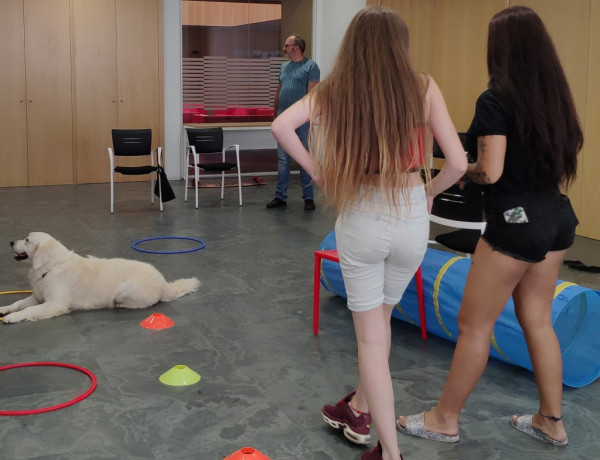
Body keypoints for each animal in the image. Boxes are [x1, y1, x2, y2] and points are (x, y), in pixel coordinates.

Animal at [0, 230, 202, 324]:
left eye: (27, 240)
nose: (10, 242)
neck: (50, 267)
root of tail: (162, 282)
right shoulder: (38, 296)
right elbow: (19, 303)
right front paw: (4, 309)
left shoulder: (55, 303)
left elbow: (29, 310)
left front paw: (13, 318)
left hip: (124, 289)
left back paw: (119, 305)